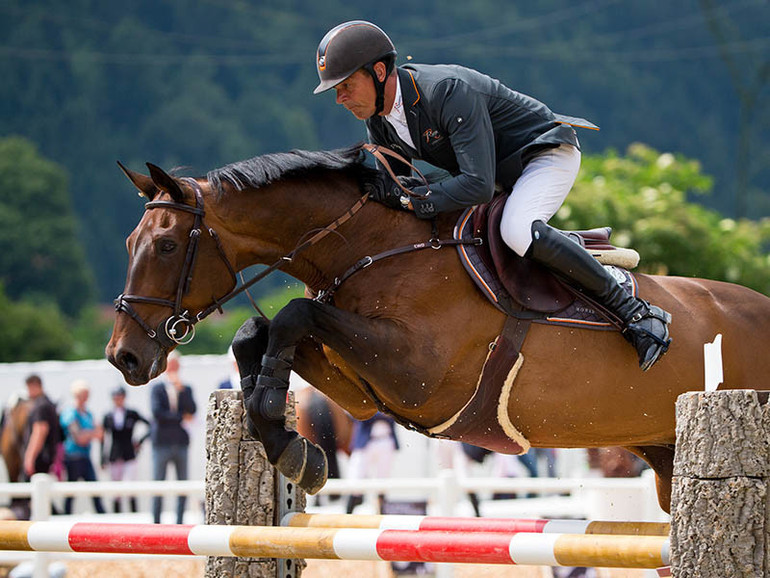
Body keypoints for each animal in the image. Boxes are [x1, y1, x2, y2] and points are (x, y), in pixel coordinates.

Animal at [105, 143, 768, 508]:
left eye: (166, 246)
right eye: (131, 242)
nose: (124, 357)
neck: (373, 248)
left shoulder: (417, 375)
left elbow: (295, 313)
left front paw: (280, 426)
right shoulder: (363, 389)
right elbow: (259, 334)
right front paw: (290, 447)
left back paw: (647, 326)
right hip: (667, 457)